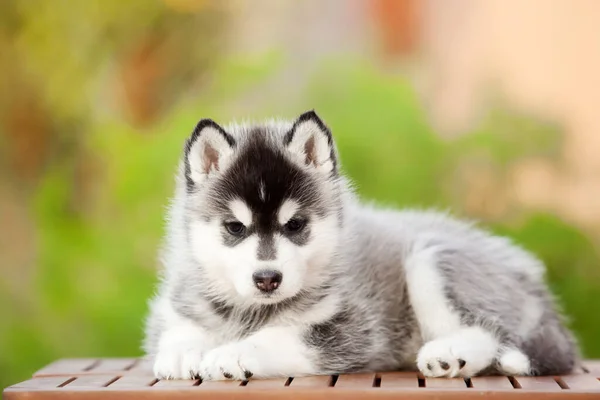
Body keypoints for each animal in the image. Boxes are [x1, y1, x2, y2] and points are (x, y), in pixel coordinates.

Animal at [143, 111, 580, 380]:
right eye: (235, 227)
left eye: (295, 225)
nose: (267, 279)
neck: (249, 312)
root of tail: (529, 275)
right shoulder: (176, 303)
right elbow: (179, 328)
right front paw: (183, 352)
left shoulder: (352, 331)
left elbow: (281, 336)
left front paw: (232, 353)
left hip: (431, 261)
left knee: (488, 331)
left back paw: (447, 355)